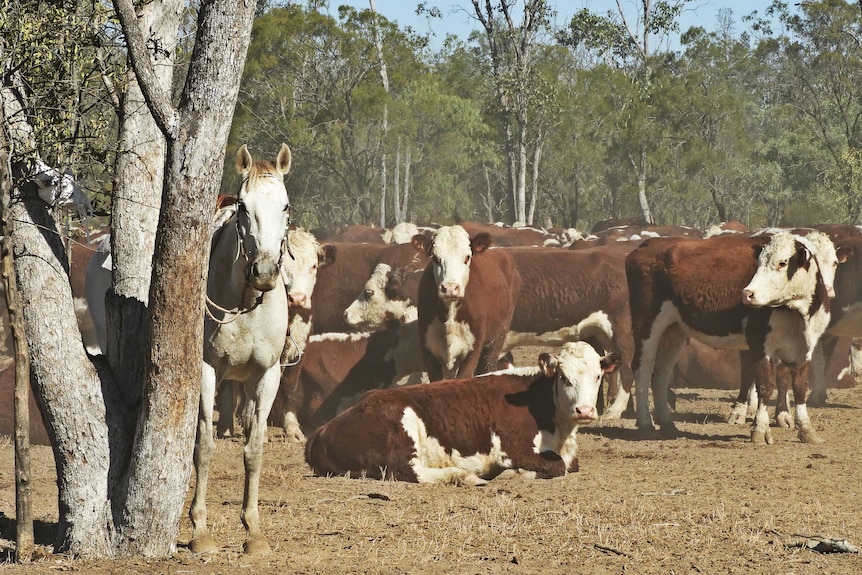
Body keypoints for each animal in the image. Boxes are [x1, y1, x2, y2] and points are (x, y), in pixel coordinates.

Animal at [304, 342, 620, 486]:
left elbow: (568, 464)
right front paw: (514, 473)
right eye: (564, 377)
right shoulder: (512, 449)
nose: (585, 410)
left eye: (597, 376)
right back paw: (466, 475)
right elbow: (557, 466)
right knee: (408, 471)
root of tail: (321, 431)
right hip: (401, 425)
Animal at [416, 226, 524, 382]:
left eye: (467, 257)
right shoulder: (428, 349)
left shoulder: (473, 347)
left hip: (496, 338)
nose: (450, 288)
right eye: (435, 258)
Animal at [628, 231, 836, 446]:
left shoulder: (806, 347)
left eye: (783, 262)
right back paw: (646, 425)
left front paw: (806, 430)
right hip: (647, 325)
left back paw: (668, 425)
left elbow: (800, 387)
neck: (796, 313)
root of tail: (648, 244)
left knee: (660, 374)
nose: (748, 294)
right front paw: (760, 430)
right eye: (759, 262)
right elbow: (765, 386)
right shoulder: (759, 342)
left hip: (673, 330)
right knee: (643, 370)